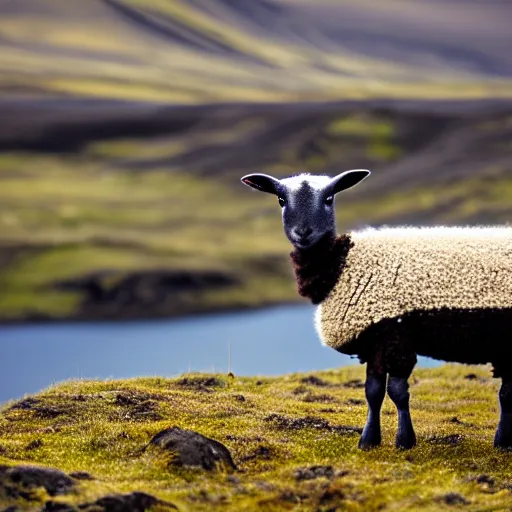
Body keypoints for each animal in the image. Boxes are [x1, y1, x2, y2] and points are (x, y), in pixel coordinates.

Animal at [240, 170, 512, 450]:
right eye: (281, 199)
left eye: (329, 198)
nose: (303, 232)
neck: (340, 264)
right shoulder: (374, 338)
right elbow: (372, 391)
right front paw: (369, 440)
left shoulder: (395, 334)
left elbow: (397, 392)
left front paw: (404, 440)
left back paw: (502, 441)